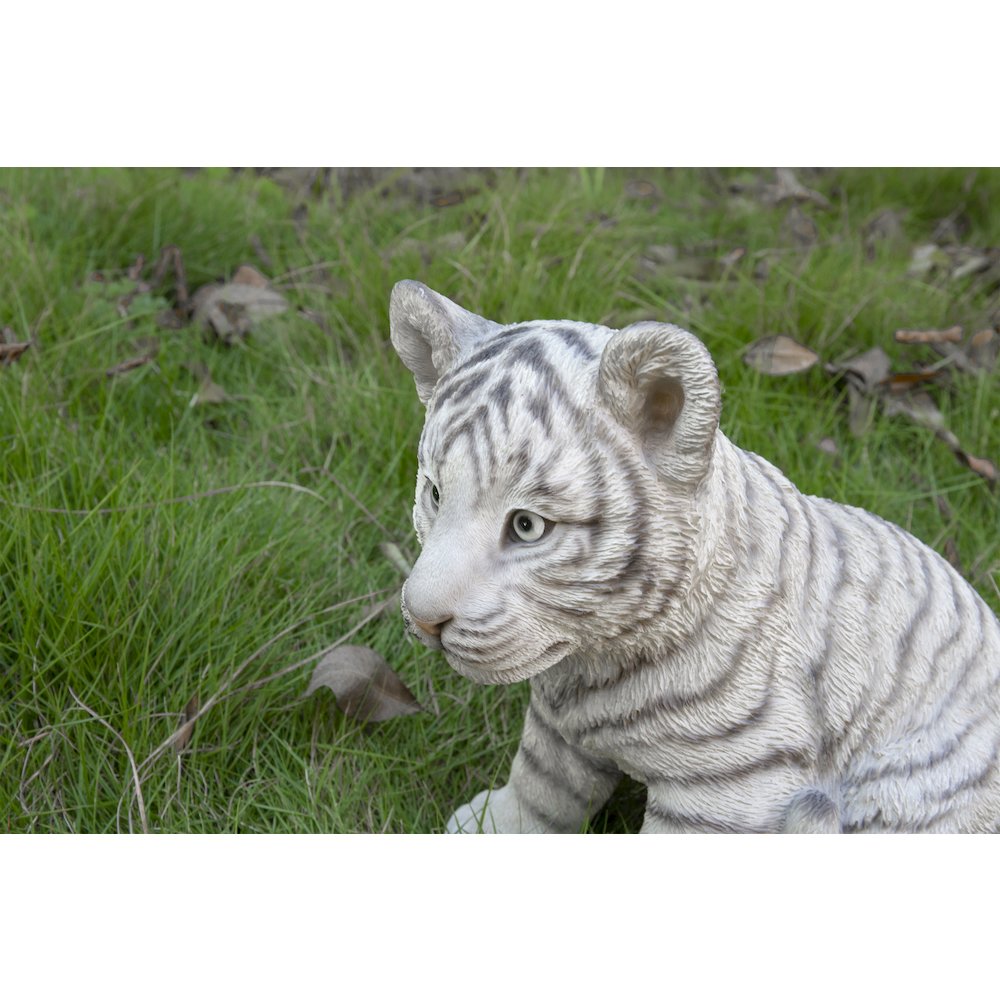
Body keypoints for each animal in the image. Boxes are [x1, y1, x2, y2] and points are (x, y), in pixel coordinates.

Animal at [389, 279, 1000, 834]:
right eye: (435, 494)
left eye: (527, 527)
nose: (424, 617)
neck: (595, 660)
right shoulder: (557, 725)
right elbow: (543, 784)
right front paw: (489, 827)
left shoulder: (729, 786)